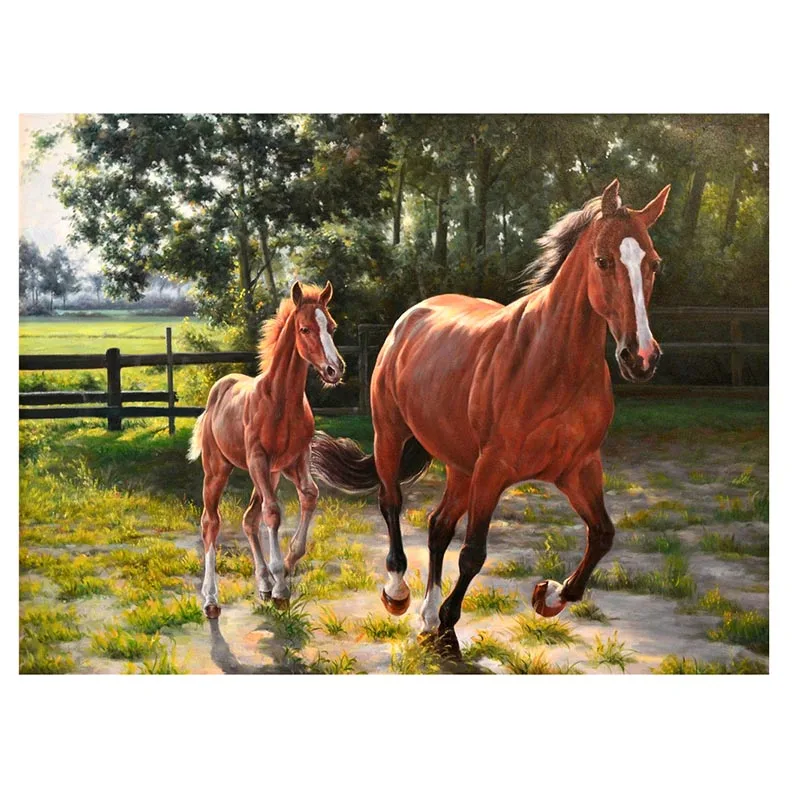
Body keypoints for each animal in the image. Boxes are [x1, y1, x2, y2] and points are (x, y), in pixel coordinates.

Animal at [188, 281, 345, 618]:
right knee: (211, 523)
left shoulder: (294, 461)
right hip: (218, 470)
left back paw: (262, 583)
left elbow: (308, 497)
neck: (280, 402)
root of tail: (218, 390)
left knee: (248, 518)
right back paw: (211, 599)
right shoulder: (258, 459)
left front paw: (282, 571)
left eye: (332, 327)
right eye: (305, 328)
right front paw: (281, 587)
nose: (334, 369)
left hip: (268, 475)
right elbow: (273, 513)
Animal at [310, 179, 671, 649]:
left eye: (654, 264)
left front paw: (548, 596)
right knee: (391, 504)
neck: (550, 364)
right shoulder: (493, 469)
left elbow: (603, 536)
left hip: (461, 465)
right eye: (603, 260)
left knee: (438, 525)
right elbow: (474, 553)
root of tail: (410, 318)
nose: (641, 358)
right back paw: (399, 594)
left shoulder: (579, 468)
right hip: (390, 436)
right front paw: (448, 627)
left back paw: (425, 615)